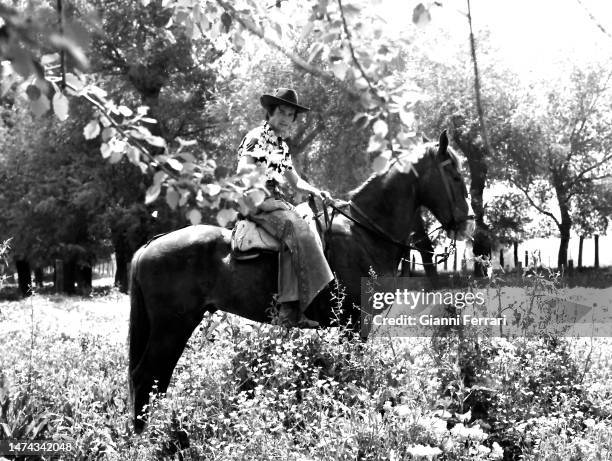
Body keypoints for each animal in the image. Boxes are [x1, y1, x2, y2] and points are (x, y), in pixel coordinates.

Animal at [128, 130, 474, 432]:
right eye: (455, 176)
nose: (468, 223)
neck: (364, 234)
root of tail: (147, 247)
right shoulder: (354, 325)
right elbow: (351, 374)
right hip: (172, 326)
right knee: (147, 376)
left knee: (153, 378)